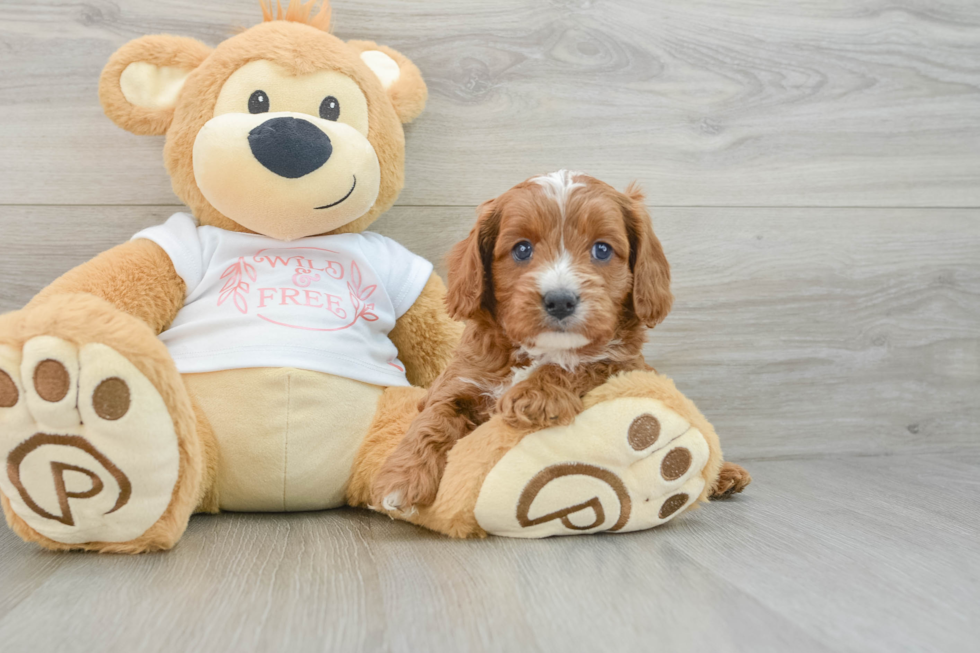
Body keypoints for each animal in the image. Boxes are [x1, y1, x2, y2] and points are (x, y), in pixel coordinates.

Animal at [376, 171, 672, 512]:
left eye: (602, 250)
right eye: (522, 249)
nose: (560, 301)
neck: (537, 350)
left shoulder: (626, 364)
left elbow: (586, 363)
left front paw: (535, 394)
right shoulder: (461, 378)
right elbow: (432, 418)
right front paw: (403, 477)